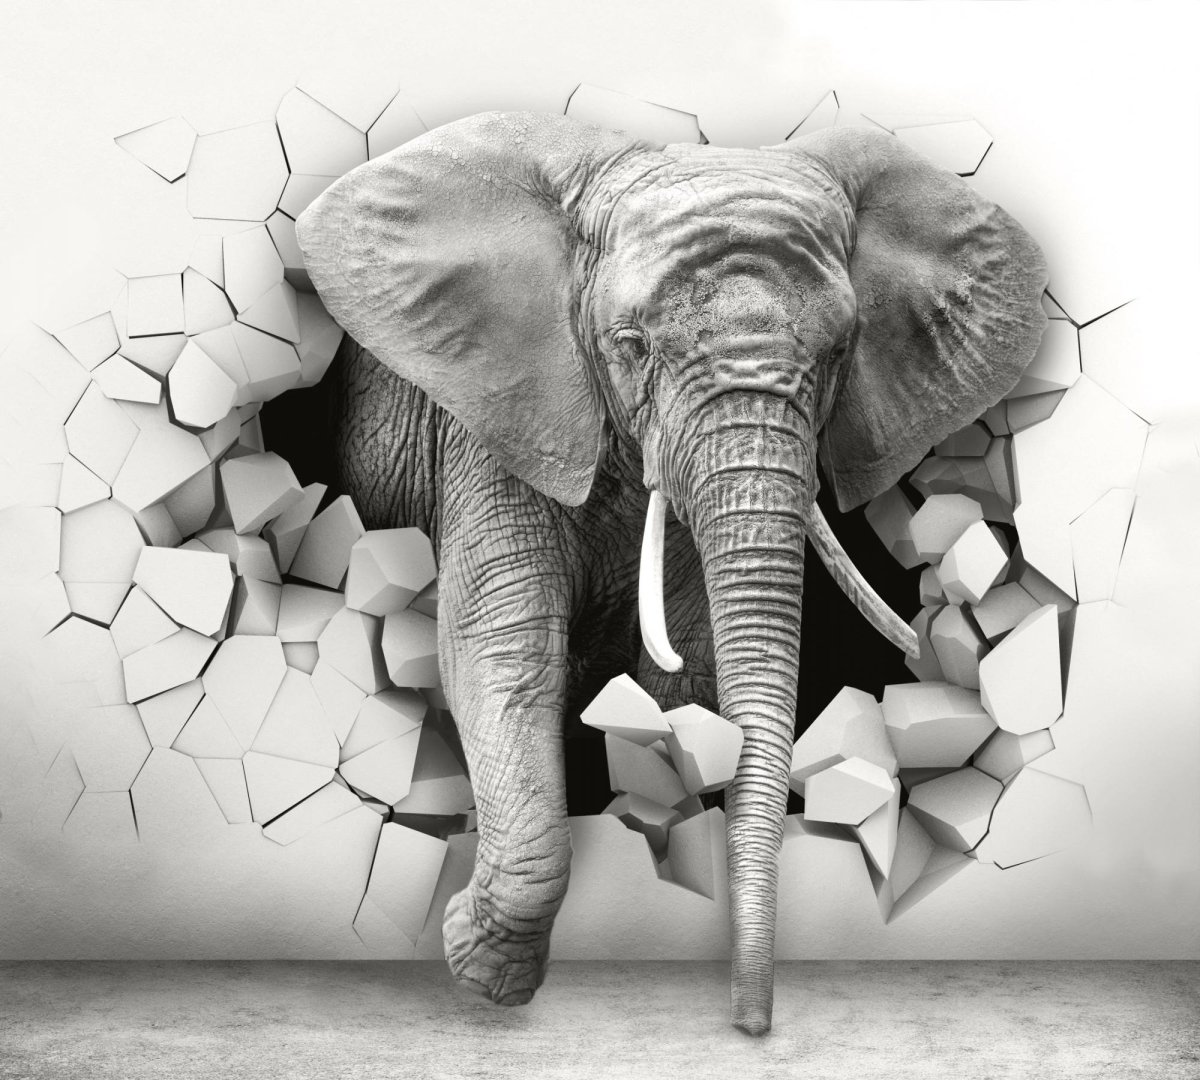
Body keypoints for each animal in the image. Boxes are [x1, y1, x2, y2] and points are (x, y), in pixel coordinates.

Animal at [295, 111, 1047, 1035]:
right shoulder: (499, 417)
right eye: (630, 345)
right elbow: (504, 650)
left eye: (843, 350)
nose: (754, 1025)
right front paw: (479, 967)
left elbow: (684, 678)